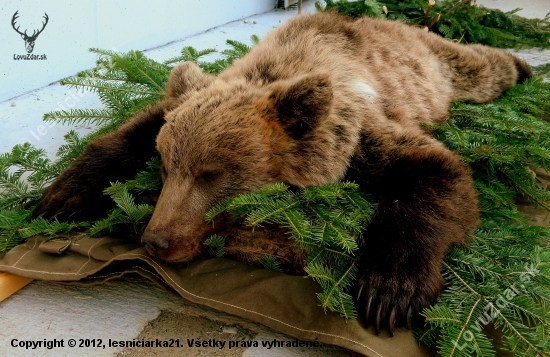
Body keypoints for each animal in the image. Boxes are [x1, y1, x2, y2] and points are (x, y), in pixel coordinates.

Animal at [32, 12, 532, 336]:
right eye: (167, 166)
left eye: (212, 175)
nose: (156, 240)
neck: (275, 73)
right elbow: (131, 131)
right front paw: (58, 199)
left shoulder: (356, 132)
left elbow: (437, 170)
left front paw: (388, 293)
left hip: (432, 66)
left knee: (478, 68)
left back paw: (522, 64)